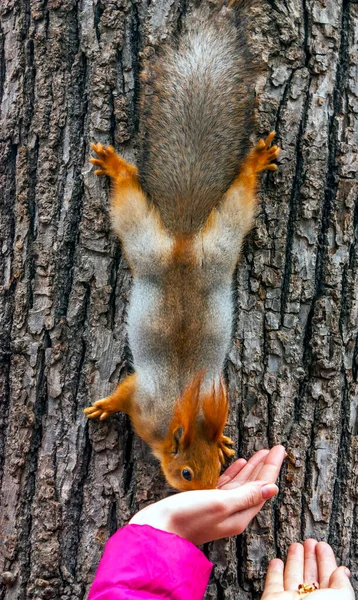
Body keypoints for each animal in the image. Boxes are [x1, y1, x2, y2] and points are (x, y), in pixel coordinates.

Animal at [84, 2, 280, 492]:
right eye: (187, 472)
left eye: (217, 469)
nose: (205, 494)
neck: (177, 414)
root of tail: (185, 244)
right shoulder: (144, 400)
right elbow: (123, 392)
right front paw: (104, 406)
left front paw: (224, 437)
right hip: (149, 242)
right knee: (130, 200)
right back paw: (116, 167)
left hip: (219, 244)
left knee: (239, 196)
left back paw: (254, 165)